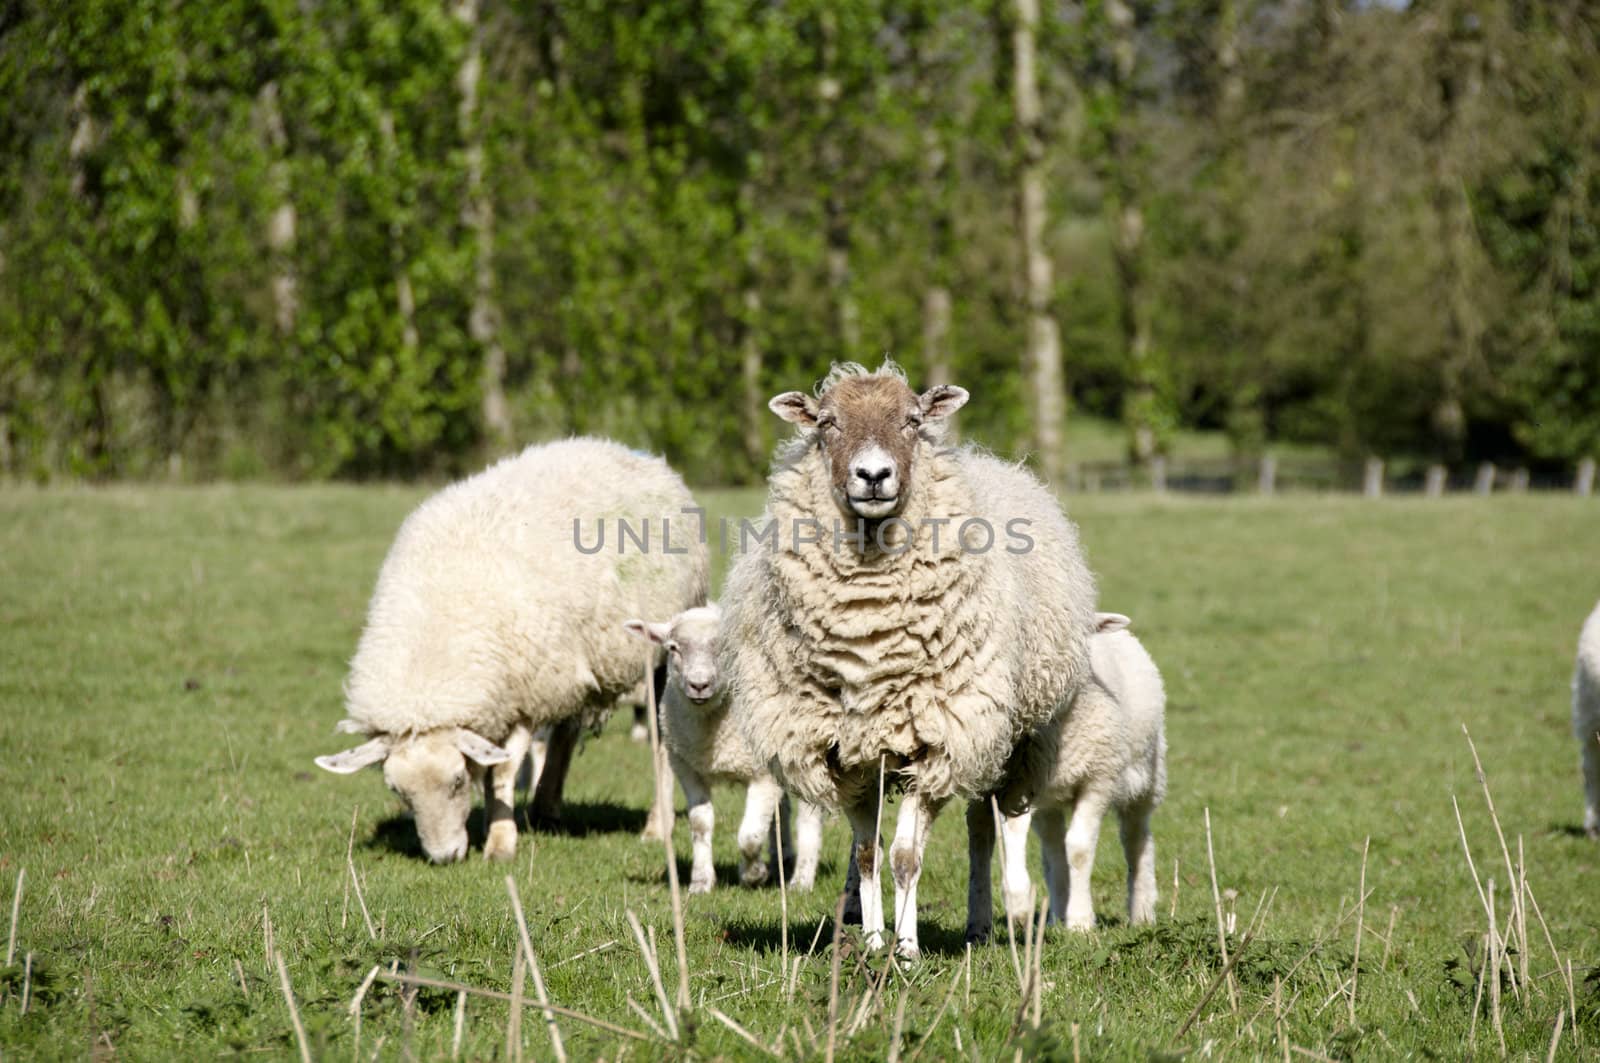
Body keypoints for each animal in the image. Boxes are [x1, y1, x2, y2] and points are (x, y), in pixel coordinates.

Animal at [312, 438, 707, 864]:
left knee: (662, 740)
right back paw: (545, 807)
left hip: (658, 655)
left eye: (456, 781)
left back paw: (656, 827)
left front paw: (500, 842)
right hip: (568, 659)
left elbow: (500, 772)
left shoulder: (519, 697)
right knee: (566, 730)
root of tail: (627, 451)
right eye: (397, 791)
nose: (444, 857)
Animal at [624, 601, 825, 890]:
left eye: (725, 647)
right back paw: (783, 858)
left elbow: (750, 836)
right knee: (782, 810)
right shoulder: (687, 768)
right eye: (673, 648)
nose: (699, 685)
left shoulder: (762, 775)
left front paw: (753, 874)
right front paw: (701, 881)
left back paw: (801, 880)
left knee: (808, 814)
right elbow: (700, 824)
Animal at [726, 361, 1100, 960]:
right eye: (827, 422)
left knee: (982, 828)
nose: (874, 475)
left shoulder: (938, 741)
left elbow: (906, 857)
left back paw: (983, 924)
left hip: (1008, 738)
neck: (867, 635)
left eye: (913, 420)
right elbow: (867, 855)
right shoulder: (846, 752)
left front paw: (906, 951)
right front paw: (874, 942)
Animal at [985, 614, 1177, 928]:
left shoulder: (1099, 781)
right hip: (1049, 801)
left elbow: (1078, 848)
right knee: (1052, 847)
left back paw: (1142, 912)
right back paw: (1055, 915)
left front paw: (1081, 921)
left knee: (1137, 839)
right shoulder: (1017, 786)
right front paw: (1019, 906)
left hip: (1147, 777)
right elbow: (1013, 835)